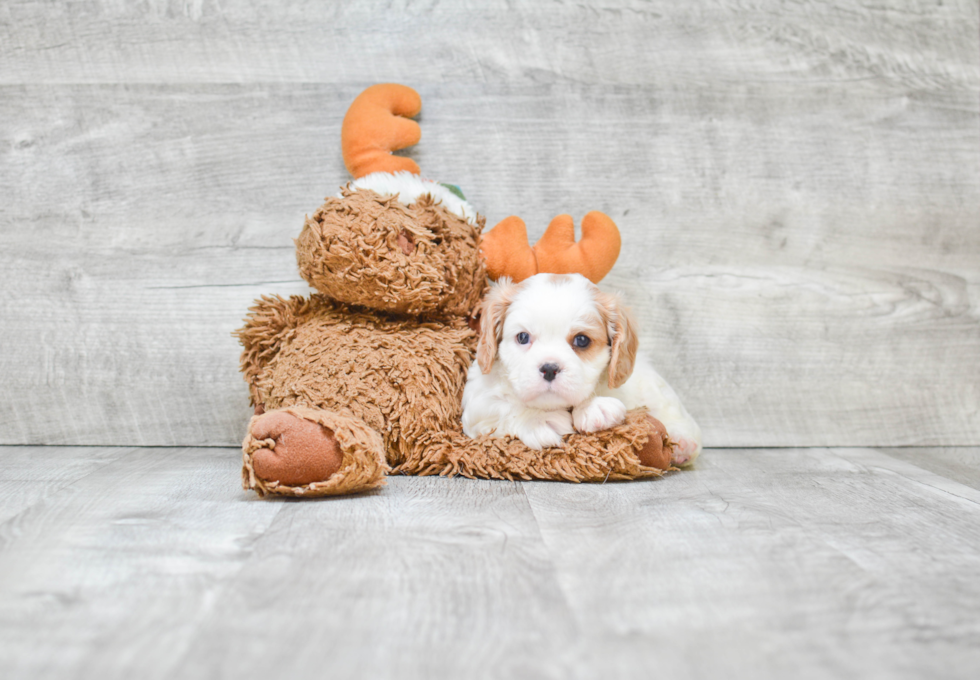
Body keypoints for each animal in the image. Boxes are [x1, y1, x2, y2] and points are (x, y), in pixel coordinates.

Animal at [464, 274, 700, 464]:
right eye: (522, 337)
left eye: (582, 340)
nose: (549, 368)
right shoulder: (475, 404)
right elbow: (505, 406)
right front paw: (537, 419)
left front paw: (594, 407)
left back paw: (681, 440)